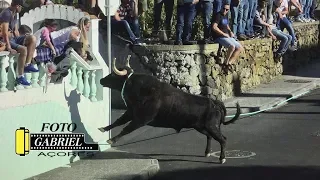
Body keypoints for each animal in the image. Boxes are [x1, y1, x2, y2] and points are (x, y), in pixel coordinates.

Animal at [99, 57, 241, 164]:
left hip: (211, 127)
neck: (141, 89)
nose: (101, 80)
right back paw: (207, 153)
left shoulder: (141, 119)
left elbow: (126, 128)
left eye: (113, 74)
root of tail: (214, 103)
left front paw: (111, 140)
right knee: (210, 137)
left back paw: (222, 158)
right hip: (201, 127)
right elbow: (118, 122)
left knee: (223, 139)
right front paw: (103, 129)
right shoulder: (130, 112)